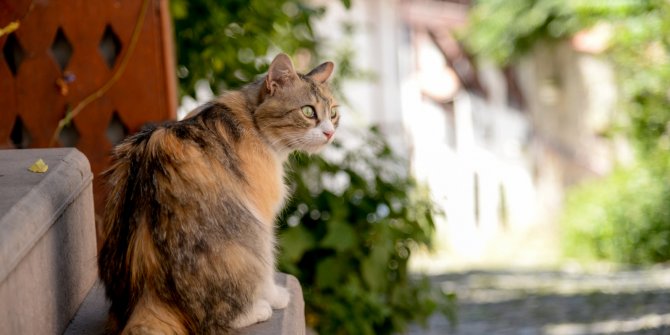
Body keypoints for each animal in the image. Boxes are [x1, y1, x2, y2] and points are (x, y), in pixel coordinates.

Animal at [97, 53, 338, 334]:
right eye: (308, 111)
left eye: (334, 113)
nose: (330, 132)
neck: (249, 116)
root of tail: (148, 292)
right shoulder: (261, 214)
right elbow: (267, 269)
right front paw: (276, 296)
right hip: (247, 234)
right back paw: (258, 309)